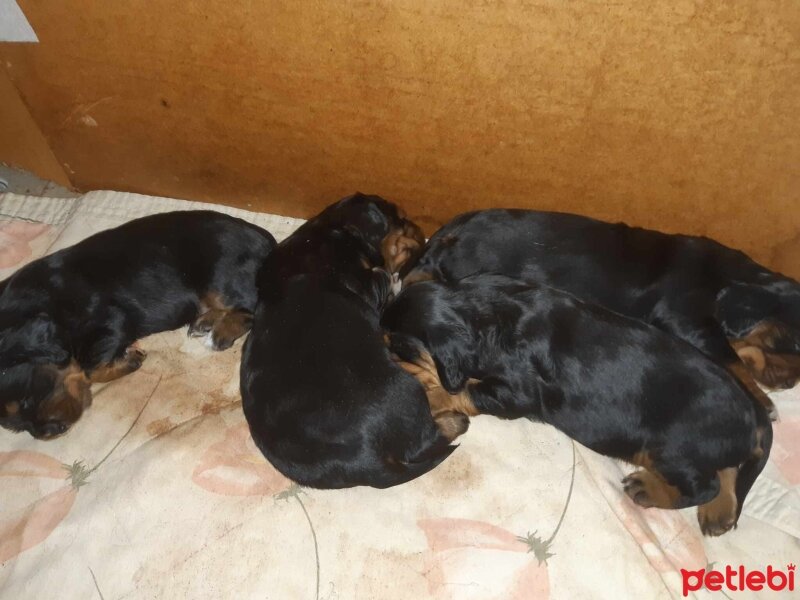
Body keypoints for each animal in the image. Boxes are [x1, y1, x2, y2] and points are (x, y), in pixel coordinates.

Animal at [0, 210, 276, 436]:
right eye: (16, 427)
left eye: (27, 400)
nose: (48, 433)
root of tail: (267, 241)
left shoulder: (110, 319)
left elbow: (91, 368)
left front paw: (131, 359)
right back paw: (205, 321)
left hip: (221, 274)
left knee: (250, 309)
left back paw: (220, 332)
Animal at [239, 195, 462, 490]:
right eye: (400, 218)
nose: (418, 228)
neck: (326, 229)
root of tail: (373, 464)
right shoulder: (368, 283)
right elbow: (382, 274)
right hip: (408, 388)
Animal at [384, 278, 772, 540]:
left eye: (395, 347)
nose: (382, 360)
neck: (485, 314)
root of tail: (750, 417)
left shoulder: (517, 392)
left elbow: (464, 391)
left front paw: (431, 394)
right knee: (727, 469)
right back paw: (719, 514)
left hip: (670, 448)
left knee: (703, 484)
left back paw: (648, 489)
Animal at [406, 209, 800, 420]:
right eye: (790, 343)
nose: (792, 382)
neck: (729, 276)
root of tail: (450, 232)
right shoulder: (686, 316)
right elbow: (731, 357)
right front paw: (763, 400)